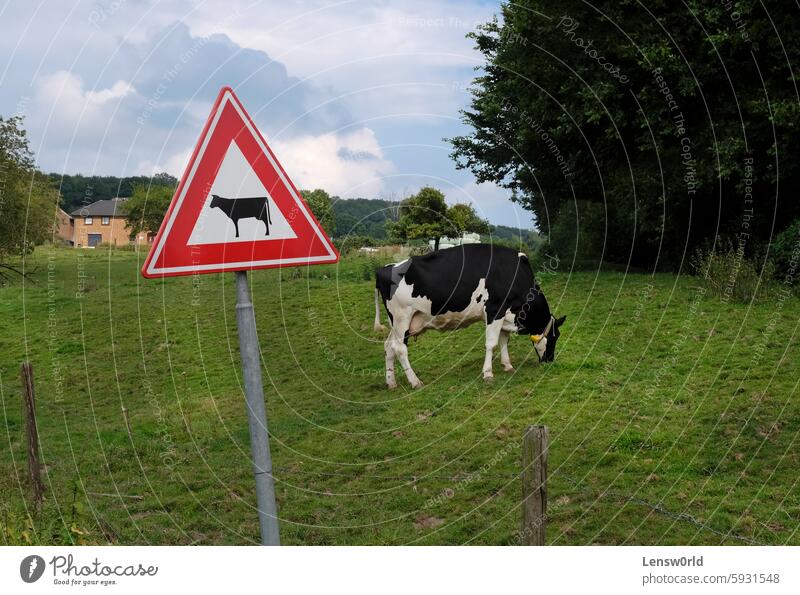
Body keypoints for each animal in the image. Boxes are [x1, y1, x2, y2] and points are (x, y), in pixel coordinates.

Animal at [374, 243, 564, 392]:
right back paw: (415, 382)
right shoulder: (495, 310)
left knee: (388, 346)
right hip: (402, 317)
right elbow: (492, 343)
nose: (550, 360)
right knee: (399, 348)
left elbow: (504, 340)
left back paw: (391, 383)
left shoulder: (506, 314)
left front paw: (508, 365)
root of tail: (385, 268)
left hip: (397, 323)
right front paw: (488, 373)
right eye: (555, 337)